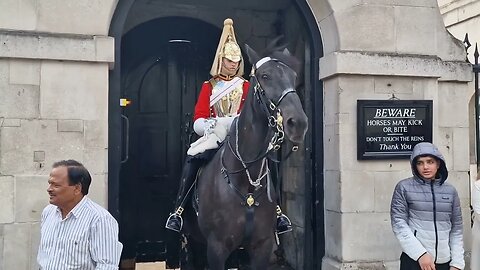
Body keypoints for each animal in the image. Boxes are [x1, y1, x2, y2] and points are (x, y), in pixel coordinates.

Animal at [182, 40, 310, 270]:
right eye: (265, 76)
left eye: (293, 76)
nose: (298, 123)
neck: (245, 181)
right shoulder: (216, 247)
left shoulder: (261, 246)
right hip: (194, 241)